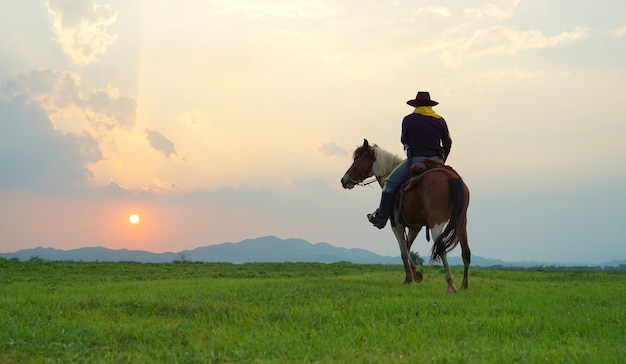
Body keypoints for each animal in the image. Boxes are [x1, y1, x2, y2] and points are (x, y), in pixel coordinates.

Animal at [342, 138, 468, 292]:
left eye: (357, 159)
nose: (343, 180)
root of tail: (451, 178)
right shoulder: (416, 226)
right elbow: (407, 249)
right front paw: (416, 274)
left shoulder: (397, 225)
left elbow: (403, 252)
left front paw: (409, 279)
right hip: (461, 223)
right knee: (466, 252)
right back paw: (464, 285)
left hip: (436, 225)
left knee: (441, 249)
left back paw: (451, 284)